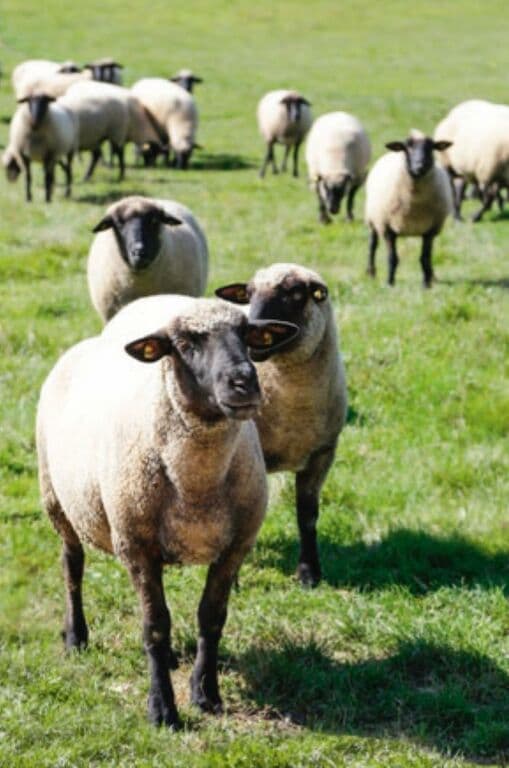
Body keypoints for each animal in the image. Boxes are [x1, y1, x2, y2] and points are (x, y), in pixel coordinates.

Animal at [36, 295, 299, 727]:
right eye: (186, 343)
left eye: (247, 336)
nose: (245, 382)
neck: (196, 483)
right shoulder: (135, 547)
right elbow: (155, 626)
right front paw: (162, 709)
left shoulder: (235, 547)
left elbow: (211, 617)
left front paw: (206, 693)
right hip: (57, 500)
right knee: (72, 566)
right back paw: (76, 636)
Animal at [216, 263, 347, 588]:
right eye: (249, 293)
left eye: (297, 294)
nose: (255, 332)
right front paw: (232, 577)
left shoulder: (322, 455)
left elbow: (307, 516)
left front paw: (309, 572)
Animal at [364, 130, 453, 287]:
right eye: (407, 148)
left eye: (431, 148)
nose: (420, 166)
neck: (413, 205)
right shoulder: (387, 228)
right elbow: (392, 258)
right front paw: (390, 283)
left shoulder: (430, 230)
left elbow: (425, 257)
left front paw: (426, 284)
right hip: (372, 219)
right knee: (372, 245)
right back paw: (371, 272)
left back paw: (432, 276)